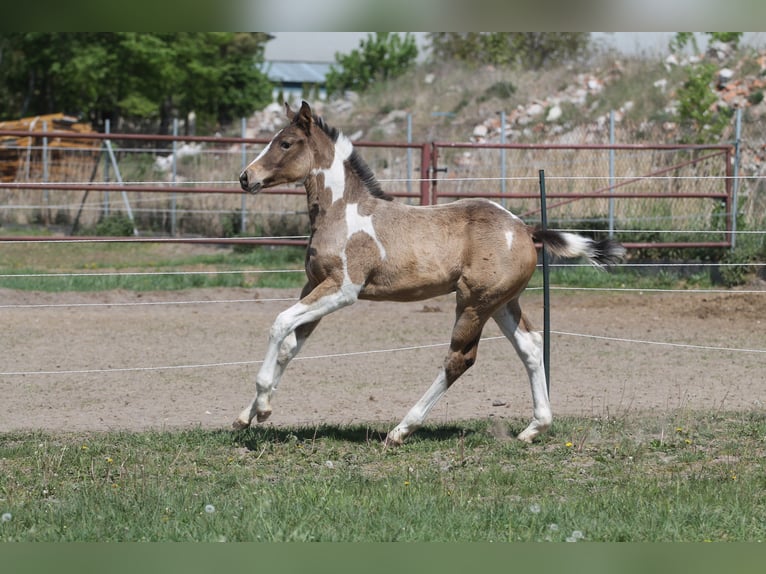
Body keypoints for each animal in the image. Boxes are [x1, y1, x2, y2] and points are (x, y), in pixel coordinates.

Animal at [235, 101, 625, 445]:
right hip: (501, 303)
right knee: (531, 346)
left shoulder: (342, 289)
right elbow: (289, 346)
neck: (342, 211)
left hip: (473, 302)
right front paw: (247, 415)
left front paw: (263, 406)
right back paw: (533, 429)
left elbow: (279, 323)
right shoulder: (314, 285)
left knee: (459, 360)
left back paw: (400, 430)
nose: (245, 177)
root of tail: (525, 228)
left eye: (285, 143)